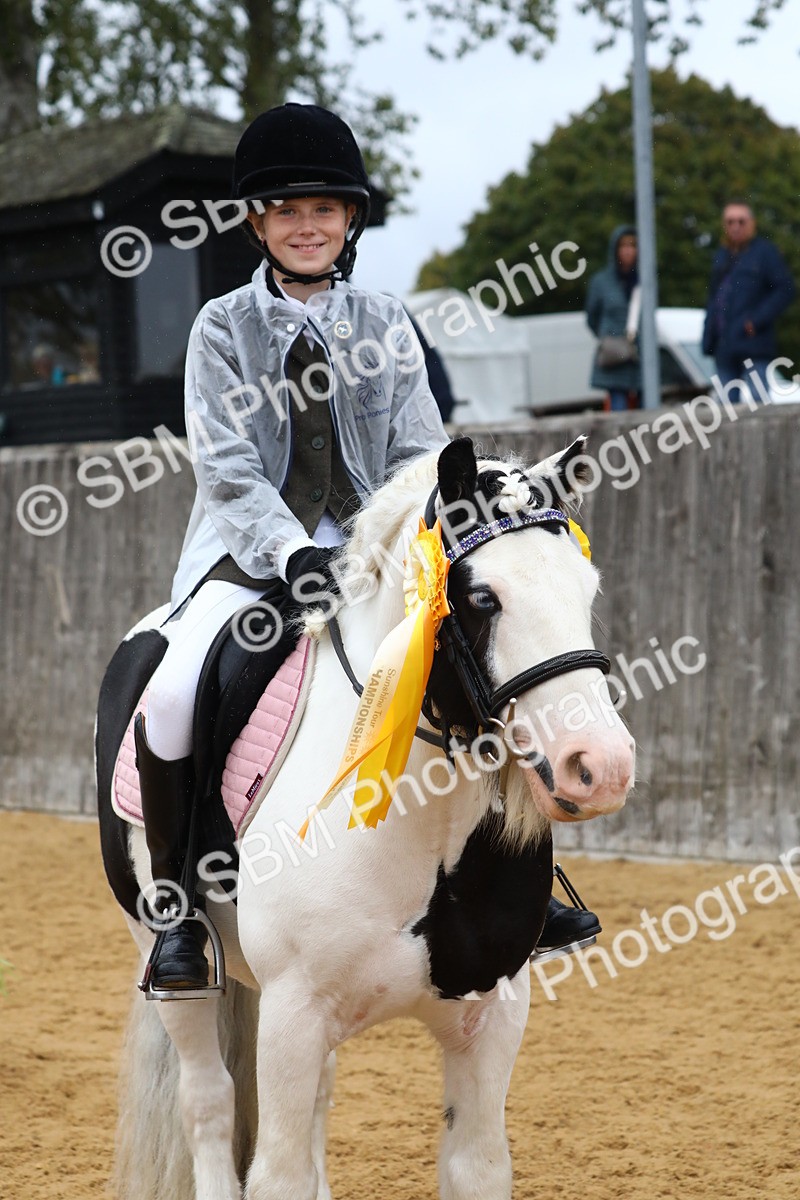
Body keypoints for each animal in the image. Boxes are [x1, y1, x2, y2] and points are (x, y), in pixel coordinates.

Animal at [96, 435, 635, 1200]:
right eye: (483, 597)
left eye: (585, 589)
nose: (602, 767)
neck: (424, 839)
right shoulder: (292, 1016)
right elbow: (277, 1172)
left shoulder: (494, 1015)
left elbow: (475, 1165)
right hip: (166, 954)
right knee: (208, 1101)